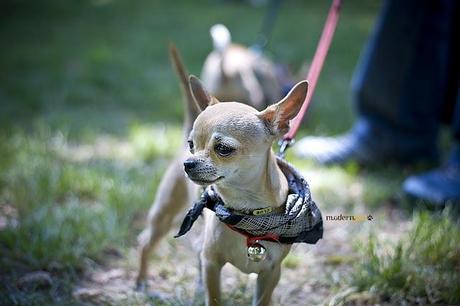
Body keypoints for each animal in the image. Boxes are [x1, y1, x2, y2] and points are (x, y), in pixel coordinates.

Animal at [135, 46, 310, 306]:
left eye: (224, 149)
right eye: (192, 145)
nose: (188, 163)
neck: (247, 211)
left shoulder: (271, 273)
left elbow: (262, 300)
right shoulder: (212, 264)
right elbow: (215, 297)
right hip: (164, 215)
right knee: (145, 242)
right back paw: (141, 280)